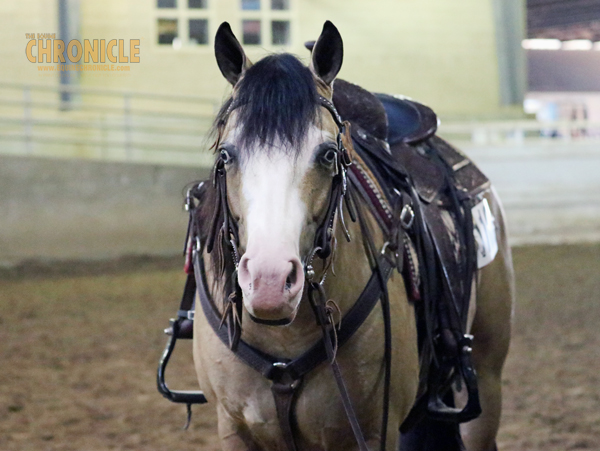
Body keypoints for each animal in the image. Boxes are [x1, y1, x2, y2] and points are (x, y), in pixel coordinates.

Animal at [157, 19, 512, 450]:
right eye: (225, 155)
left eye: (328, 154)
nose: (270, 283)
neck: (283, 339)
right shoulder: (234, 429)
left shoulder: (373, 431)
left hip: (486, 381)